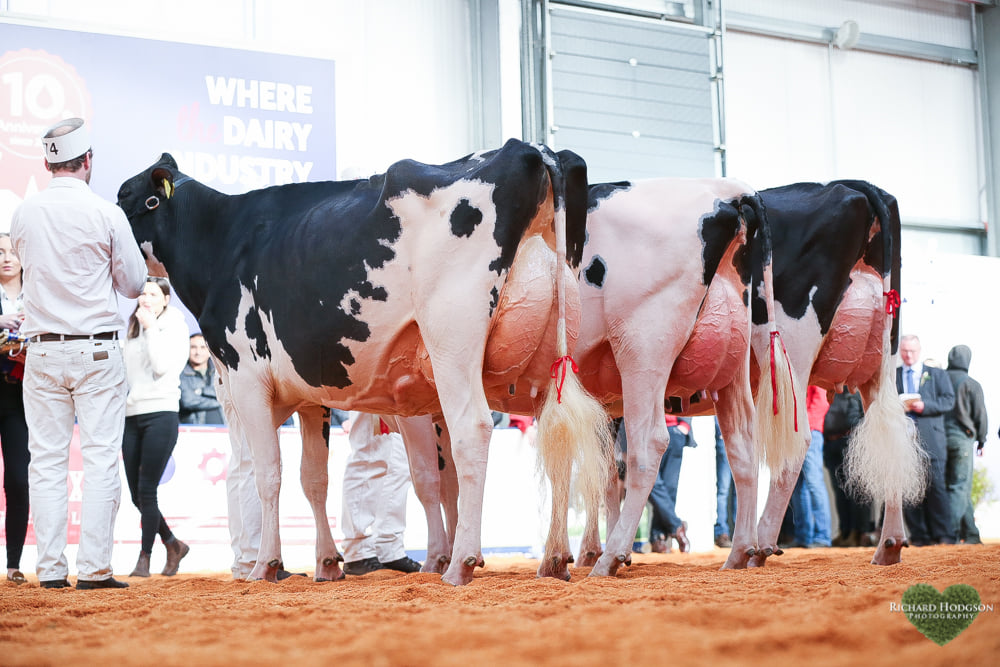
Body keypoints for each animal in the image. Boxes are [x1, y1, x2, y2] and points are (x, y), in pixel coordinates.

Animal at [116, 139, 609, 586]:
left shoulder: (246, 375)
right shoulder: (309, 397)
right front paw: (326, 563)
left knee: (472, 432)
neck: (220, 239)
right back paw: (554, 559)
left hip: (452, 339)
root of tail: (534, 149)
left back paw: (461, 563)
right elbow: (313, 478)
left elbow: (268, 473)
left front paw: (265, 566)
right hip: (550, 351)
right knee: (557, 438)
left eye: (127, 199)